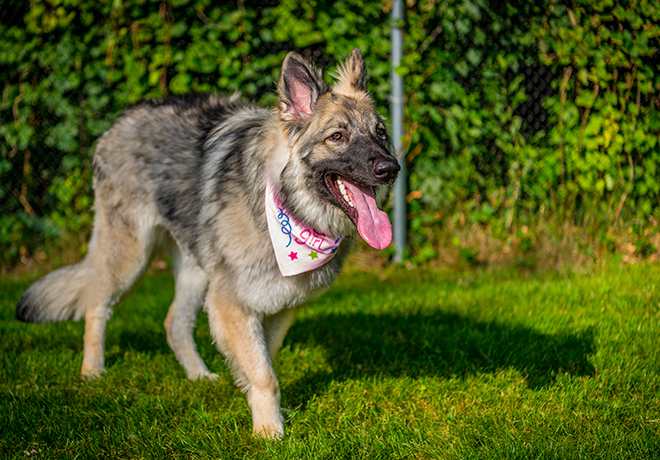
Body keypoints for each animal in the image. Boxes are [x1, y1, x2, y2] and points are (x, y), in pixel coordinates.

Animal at [15, 47, 400, 438]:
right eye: (337, 136)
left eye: (380, 133)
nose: (391, 169)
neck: (287, 207)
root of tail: (122, 118)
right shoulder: (231, 303)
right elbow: (264, 373)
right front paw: (269, 431)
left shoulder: (278, 306)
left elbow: (266, 358)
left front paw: (264, 408)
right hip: (130, 255)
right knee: (97, 304)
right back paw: (93, 370)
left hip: (197, 268)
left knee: (175, 323)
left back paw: (198, 375)